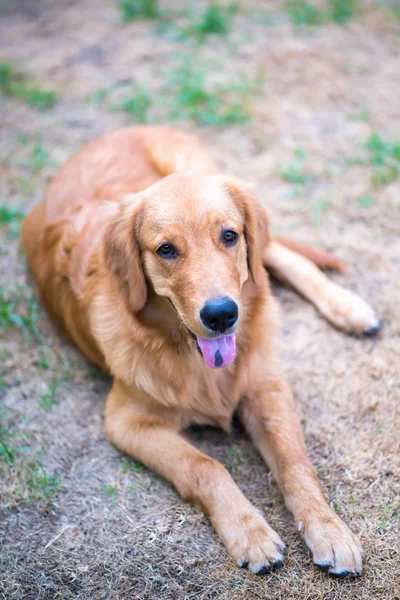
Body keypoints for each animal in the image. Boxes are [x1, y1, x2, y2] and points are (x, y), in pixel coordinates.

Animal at [21, 125, 378, 576]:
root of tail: (116, 132)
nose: (222, 314)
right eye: (166, 249)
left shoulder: (265, 384)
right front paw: (250, 532)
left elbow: (295, 461)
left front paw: (329, 529)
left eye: (229, 235)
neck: (199, 365)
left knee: (281, 255)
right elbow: (205, 466)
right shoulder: (125, 421)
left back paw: (349, 308)